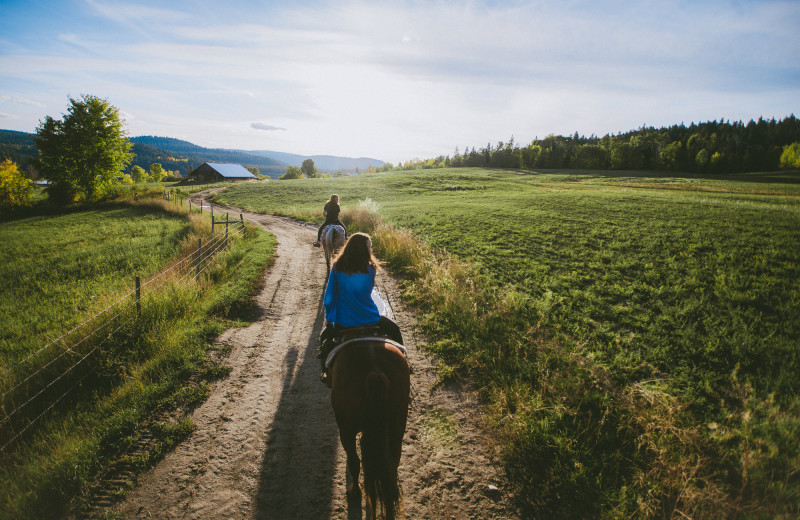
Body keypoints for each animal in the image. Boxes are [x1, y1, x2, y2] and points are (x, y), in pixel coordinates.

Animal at [328, 340, 410, 516]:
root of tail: (375, 371)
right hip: (397, 427)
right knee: (391, 467)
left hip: (346, 428)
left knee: (354, 460)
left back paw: (355, 490)